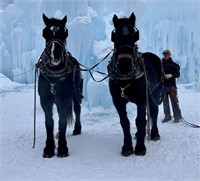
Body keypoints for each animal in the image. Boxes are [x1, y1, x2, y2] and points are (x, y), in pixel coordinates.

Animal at [36, 14, 83, 158]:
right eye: (45, 33)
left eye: (64, 33)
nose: (54, 54)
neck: (54, 76)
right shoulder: (45, 100)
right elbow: (49, 122)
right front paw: (49, 148)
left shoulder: (65, 99)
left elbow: (62, 121)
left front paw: (62, 148)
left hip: (76, 94)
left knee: (77, 109)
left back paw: (77, 129)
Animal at [108, 12, 163, 157]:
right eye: (115, 36)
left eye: (134, 35)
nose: (124, 65)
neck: (126, 78)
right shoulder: (118, 100)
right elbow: (125, 122)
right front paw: (127, 147)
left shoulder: (142, 98)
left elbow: (140, 121)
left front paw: (140, 147)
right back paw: (139, 134)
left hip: (154, 94)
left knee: (154, 112)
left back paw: (154, 133)